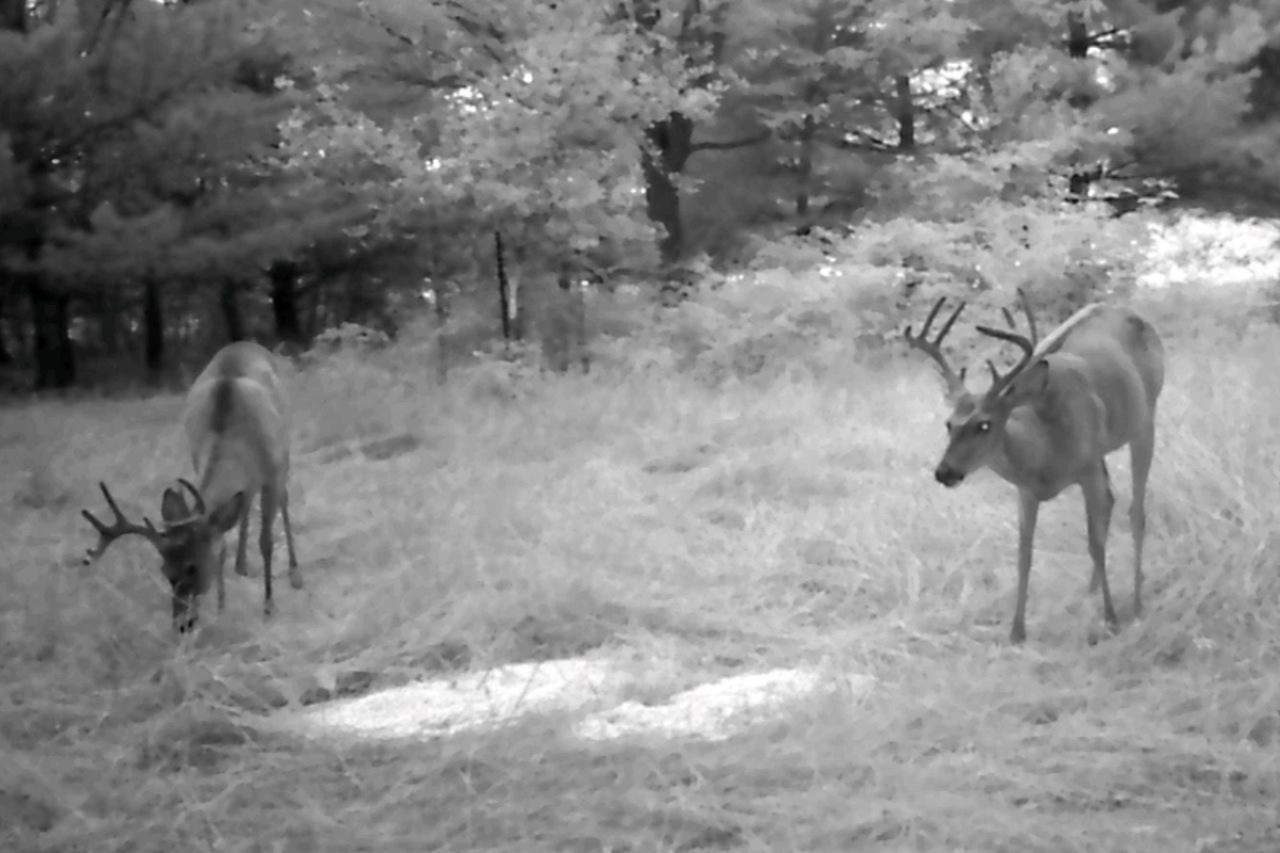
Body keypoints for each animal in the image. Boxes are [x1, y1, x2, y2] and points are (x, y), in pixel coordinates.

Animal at [81, 341, 302, 632]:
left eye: (192, 567)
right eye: (164, 570)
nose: (182, 623)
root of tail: (245, 343)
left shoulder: (273, 471)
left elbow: (266, 540)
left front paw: (268, 607)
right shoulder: (199, 460)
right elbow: (221, 541)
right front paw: (220, 608)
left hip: (285, 449)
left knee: (283, 501)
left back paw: (295, 573)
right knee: (243, 506)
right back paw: (241, 564)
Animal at [903, 290, 1165, 643]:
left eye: (984, 424)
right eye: (948, 424)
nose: (944, 472)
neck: (1044, 453)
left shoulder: (1086, 469)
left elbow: (1094, 544)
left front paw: (1111, 619)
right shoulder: (1025, 490)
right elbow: (1024, 553)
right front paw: (1017, 630)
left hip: (1144, 422)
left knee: (1136, 512)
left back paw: (1135, 603)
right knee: (1112, 501)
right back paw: (1090, 592)